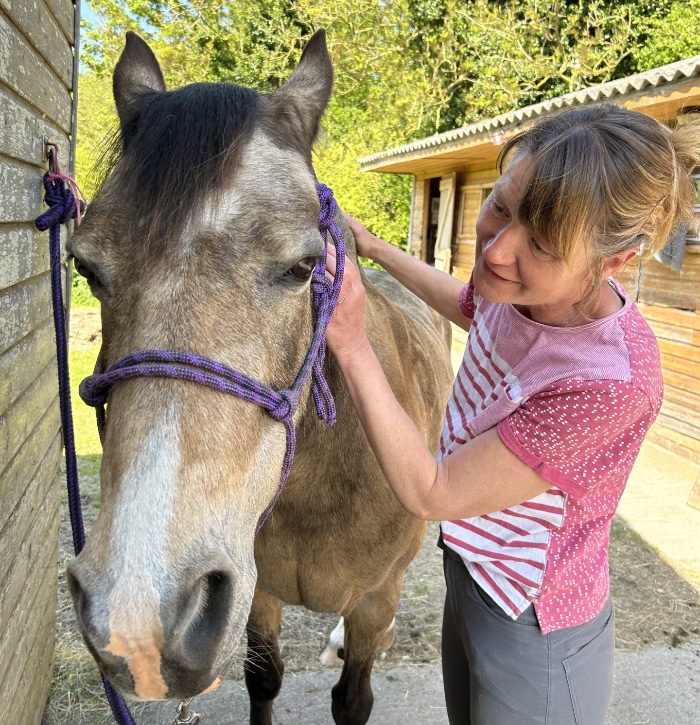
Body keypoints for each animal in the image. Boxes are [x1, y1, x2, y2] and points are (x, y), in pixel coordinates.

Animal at [67, 29, 454, 724]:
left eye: (303, 266)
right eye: (85, 266)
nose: (137, 615)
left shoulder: (375, 596)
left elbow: (353, 697)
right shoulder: (252, 591)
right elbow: (265, 678)